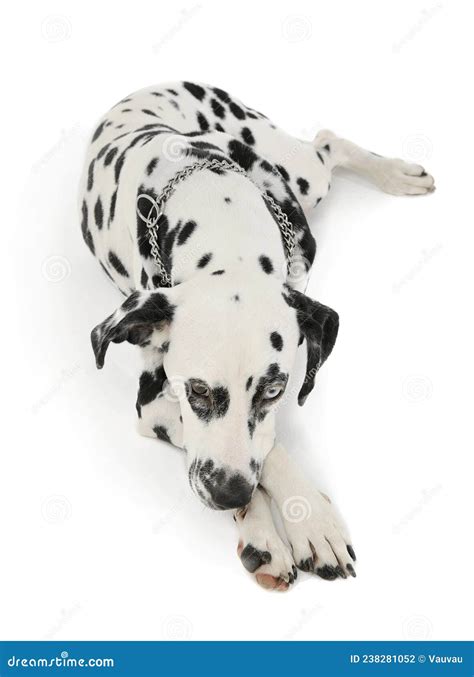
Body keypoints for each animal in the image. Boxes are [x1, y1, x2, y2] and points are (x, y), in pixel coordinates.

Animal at [80, 79, 434, 588]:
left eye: (273, 390)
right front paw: (273, 532)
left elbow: (265, 443)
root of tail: (159, 85)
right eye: (196, 391)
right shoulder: (154, 404)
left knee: (327, 143)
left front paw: (308, 520)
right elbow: (260, 449)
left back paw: (395, 173)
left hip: (302, 174)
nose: (230, 495)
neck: (215, 207)